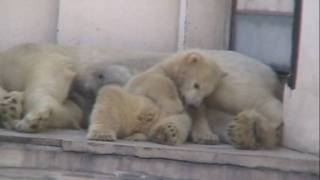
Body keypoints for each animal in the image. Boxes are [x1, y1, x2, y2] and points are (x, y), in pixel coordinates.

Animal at [87, 50, 225, 145]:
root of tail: (140, 130)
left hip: (160, 120)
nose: (194, 104)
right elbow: (155, 80)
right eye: (196, 85)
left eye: (207, 93)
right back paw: (102, 134)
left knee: (181, 121)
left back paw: (167, 132)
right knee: (110, 97)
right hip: (128, 110)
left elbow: (197, 116)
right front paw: (174, 104)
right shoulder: (150, 74)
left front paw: (208, 137)